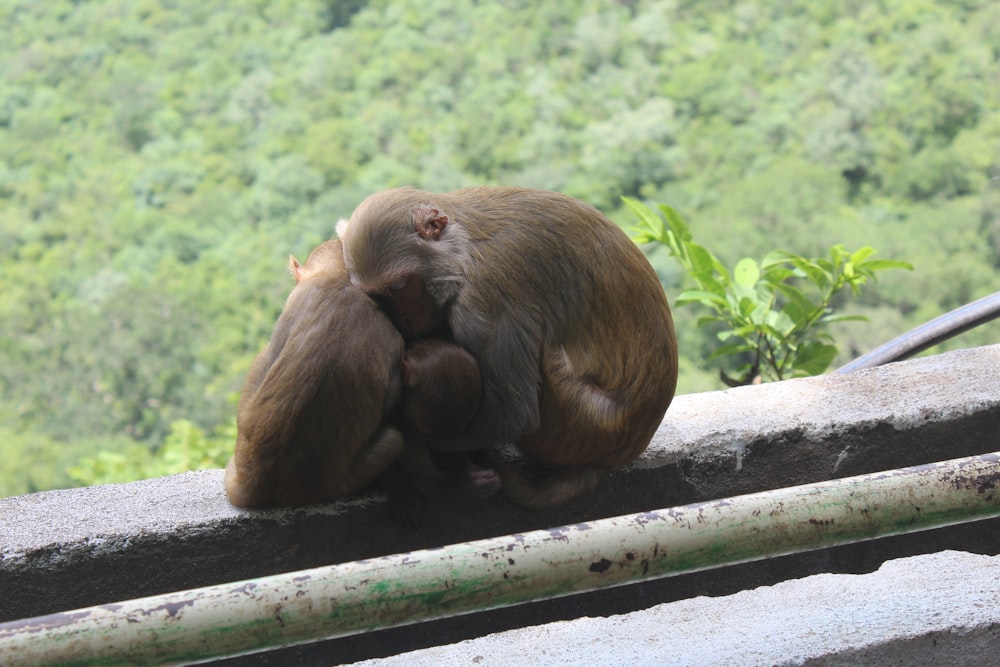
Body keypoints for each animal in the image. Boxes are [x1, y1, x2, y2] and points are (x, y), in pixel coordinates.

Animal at [340, 185, 676, 508]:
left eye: (399, 286)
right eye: (379, 294)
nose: (405, 319)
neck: (463, 251)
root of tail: (614, 456)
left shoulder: (483, 304)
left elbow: (514, 416)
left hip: (575, 420)